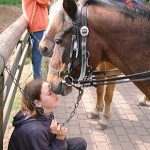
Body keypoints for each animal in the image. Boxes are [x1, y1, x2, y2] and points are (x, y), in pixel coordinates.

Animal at [39, 0, 150, 128]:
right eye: (48, 17)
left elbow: (108, 96)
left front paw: (104, 119)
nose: (42, 48)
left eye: (59, 40)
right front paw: (96, 110)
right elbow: (100, 91)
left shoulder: (112, 73)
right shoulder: (98, 70)